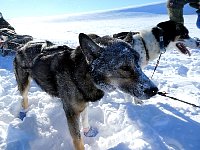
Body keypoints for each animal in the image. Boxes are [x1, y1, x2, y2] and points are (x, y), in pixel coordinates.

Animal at [13, 33, 158, 150]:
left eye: (138, 63)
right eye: (125, 67)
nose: (154, 90)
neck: (80, 74)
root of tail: (23, 45)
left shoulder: (84, 101)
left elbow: (85, 117)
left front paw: (88, 131)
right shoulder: (71, 112)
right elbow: (77, 139)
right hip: (24, 84)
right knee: (24, 98)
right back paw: (23, 113)